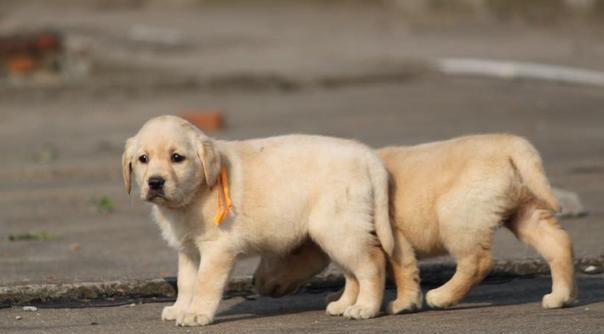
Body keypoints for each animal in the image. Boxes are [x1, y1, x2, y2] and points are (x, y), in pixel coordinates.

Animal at [122, 115, 396, 326]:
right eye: (143, 159)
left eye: (177, 158)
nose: (155, 182)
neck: (196, 193)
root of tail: (367, 155)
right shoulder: (189, 250)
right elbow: (186, 282)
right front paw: (180, 308)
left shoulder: (217, 249)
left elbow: (204, 283)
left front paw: (196, 313)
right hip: (336, 234)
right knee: (353, 273)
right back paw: (343, 304)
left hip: (338, 228)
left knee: (372, 263)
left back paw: (365, 308)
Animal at [254, 134, 576, 312]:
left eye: (279, 254)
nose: (256, 283)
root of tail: (511, 145)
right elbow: (353, 272)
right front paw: (345, 299)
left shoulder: (389, 234)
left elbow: (398, 267)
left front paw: (402, 304)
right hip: (521, 209)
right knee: (556, 242)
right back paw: (561, 297)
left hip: (458, 215)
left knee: (477, 261)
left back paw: (442, 296)